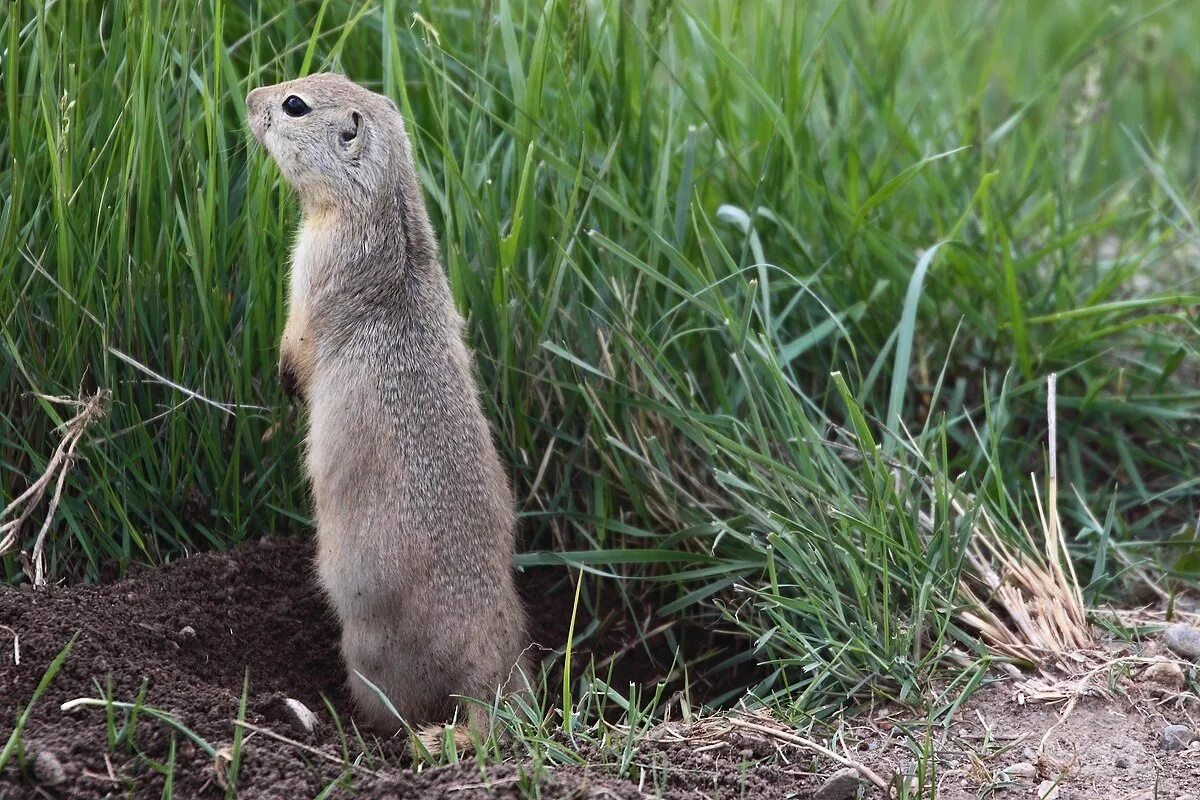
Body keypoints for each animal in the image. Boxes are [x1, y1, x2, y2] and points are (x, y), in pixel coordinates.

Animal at [247, 74, 530, 738]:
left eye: (294, 106)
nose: (248, 98)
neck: (388, 214)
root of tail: (490, 675)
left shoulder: (314, 264)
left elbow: (298, 336)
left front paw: (287, 383)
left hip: (369, 649)